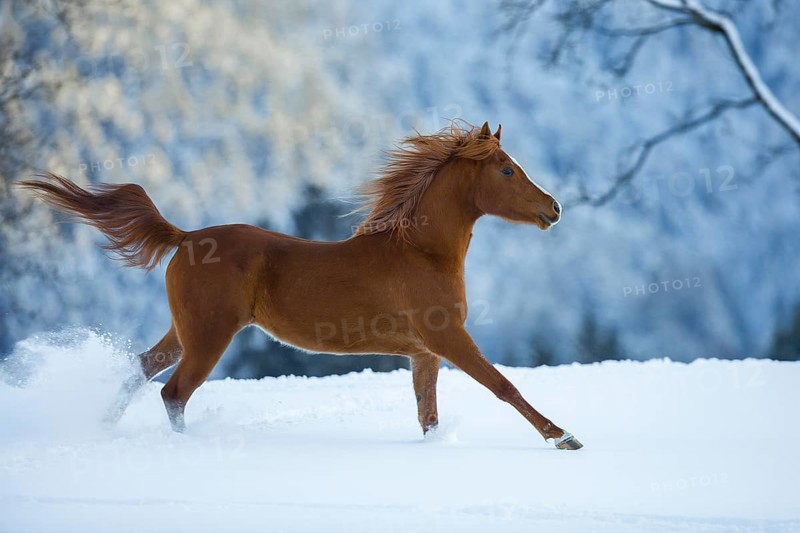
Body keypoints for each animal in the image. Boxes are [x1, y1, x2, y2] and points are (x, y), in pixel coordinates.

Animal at [19, 121, 582, 450]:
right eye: (506, 170)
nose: (554, 208)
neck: (420, 253)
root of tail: (186, 238)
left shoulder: (423, 352)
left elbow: (429, 415)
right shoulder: (448, 338)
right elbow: (503, 385)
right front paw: (563, 438)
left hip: (185, 331)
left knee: (141, 368)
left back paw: (100, 427)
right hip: (209, 336)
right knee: (174, 392)